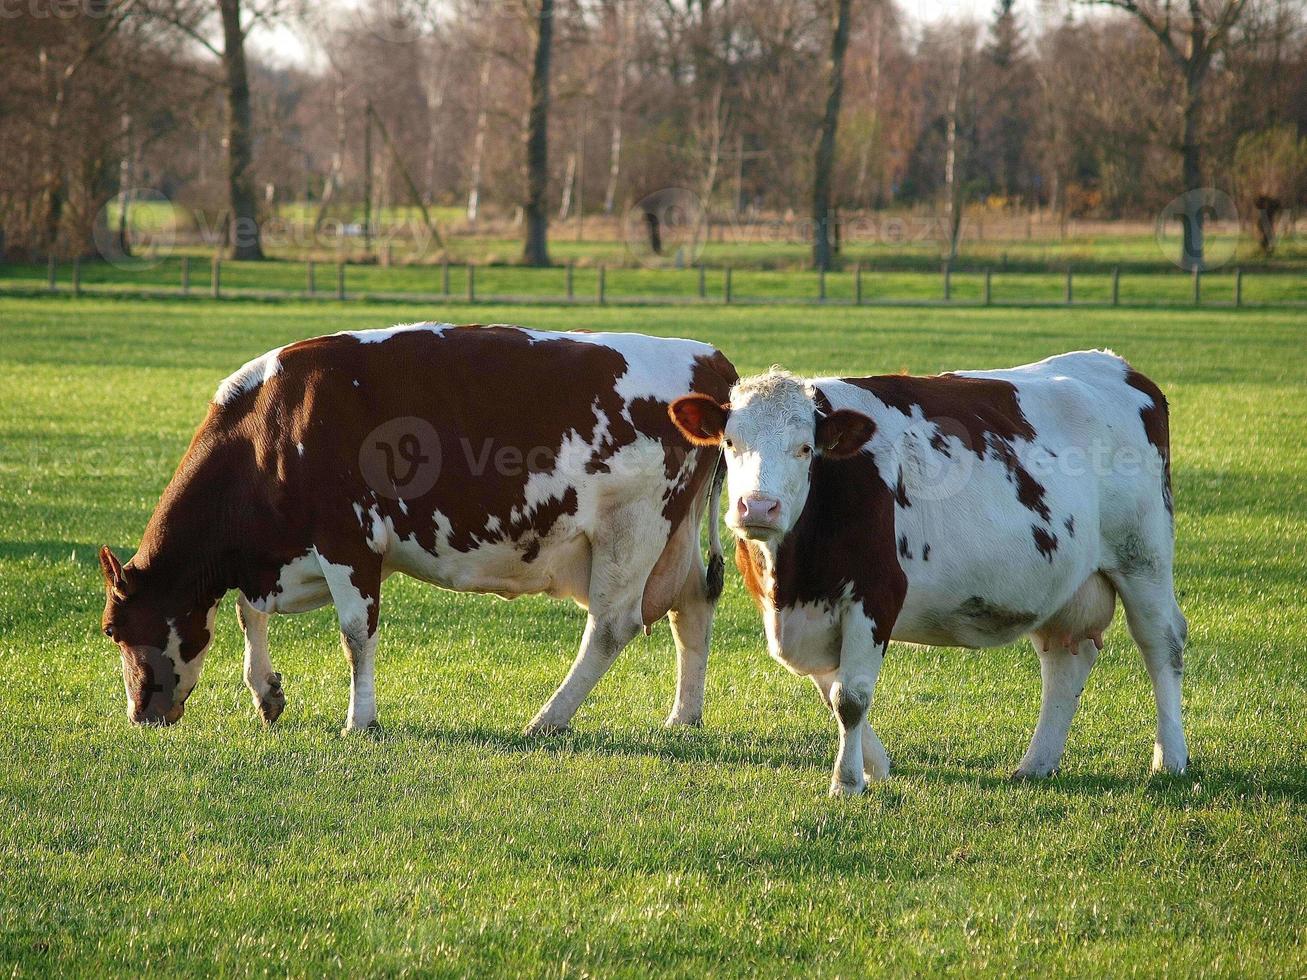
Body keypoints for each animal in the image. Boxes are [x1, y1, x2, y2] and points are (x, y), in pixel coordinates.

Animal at [95, 324, 737, 736]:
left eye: (112, 628)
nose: (139, 715)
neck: (271, 427)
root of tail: (707, 358)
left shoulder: (348, 540)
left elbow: (356, 634)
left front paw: (359, 721)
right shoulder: (279, 558)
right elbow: (246, 611)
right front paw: (267, 693)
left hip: (631, 531)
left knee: (612, 625)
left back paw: (548, 719)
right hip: (673, 537)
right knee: (692, 605)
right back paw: (683, 716)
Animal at [669, 352, 1191, 799]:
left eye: (805, 448)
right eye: (730, 443)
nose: (757, 507)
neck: (794, 578)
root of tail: (1113, 364)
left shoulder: (876, 595)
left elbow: (850, 697)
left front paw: (847, 782)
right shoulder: (789, 612)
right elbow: (829, 689)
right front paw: (876, 767)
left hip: (1143, 558)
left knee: (1161, 643)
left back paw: (1171, 758)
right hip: (1062, 582)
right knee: (1066, 659)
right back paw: (1036, 764)